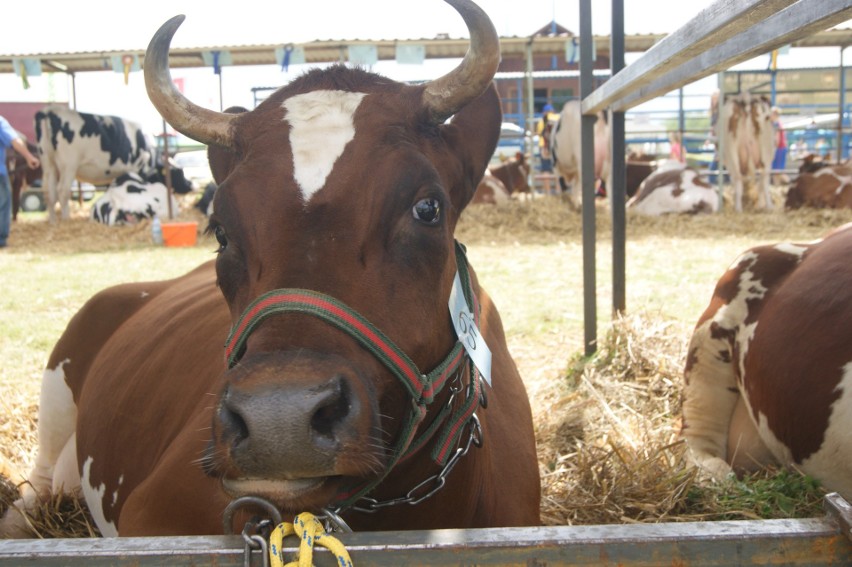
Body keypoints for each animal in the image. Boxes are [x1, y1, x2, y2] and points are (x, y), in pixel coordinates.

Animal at [34, 106, 191, 224]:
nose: (191, 185)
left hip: (48, 163)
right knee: (62, 190)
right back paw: (66, 219)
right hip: (69, 164)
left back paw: (53, 222)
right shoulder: (138, 168)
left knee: (49, 192)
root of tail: (48, 111)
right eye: (179, 172)